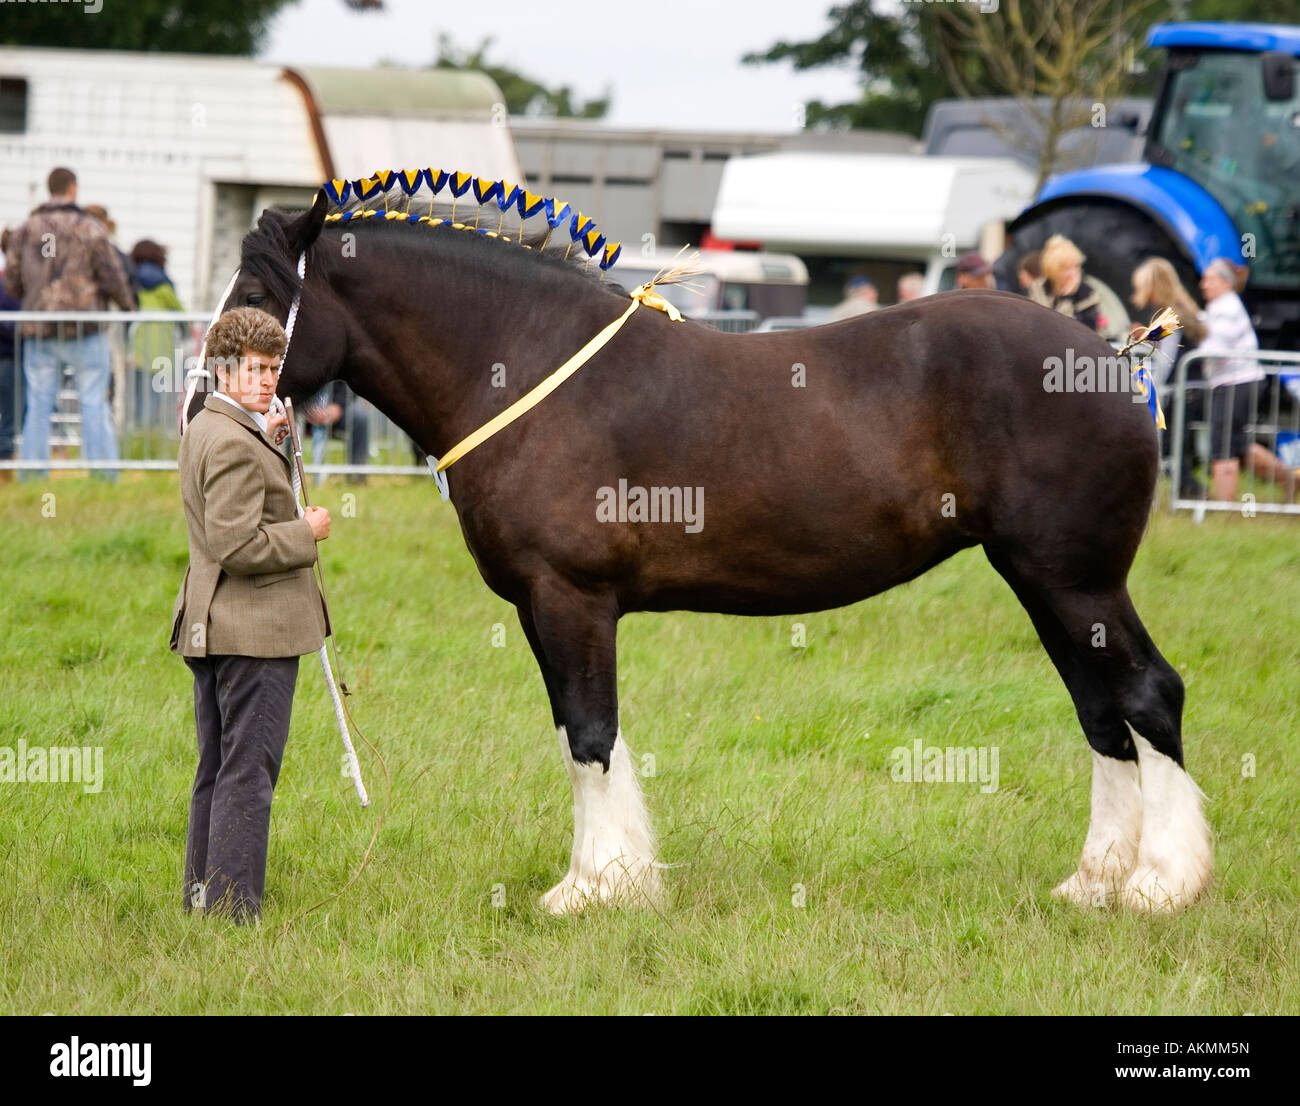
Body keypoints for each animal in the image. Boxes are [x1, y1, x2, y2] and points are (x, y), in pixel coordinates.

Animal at [188, 192, 1211, 914]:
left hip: (1076, 582)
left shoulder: (571, 600)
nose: (202, 403)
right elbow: (579, 735)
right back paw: (1095, 882)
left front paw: (595, 889)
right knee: (1102, 714)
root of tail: (1114, 358)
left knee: (1147, 696)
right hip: (1044, 584)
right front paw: (614, 878)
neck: (527, 366)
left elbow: (590, 734)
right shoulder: (546, 610)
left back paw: (1160, 885)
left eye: (257, 301)